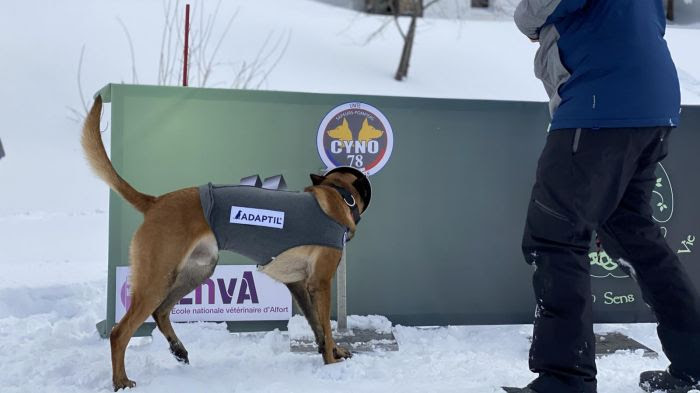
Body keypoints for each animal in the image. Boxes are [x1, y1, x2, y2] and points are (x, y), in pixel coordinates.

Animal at [81, 97, 370, 388]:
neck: (338, 195)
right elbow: (326, 327)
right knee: (120, 332)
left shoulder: (298, 284)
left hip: (196, 271)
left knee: (161, 312)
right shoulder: (320, 283)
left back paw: (178, 349)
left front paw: (332, 352)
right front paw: (331, 361)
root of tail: (156, 202)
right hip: (157, 280)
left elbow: (318, 326)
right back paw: (121, 381)